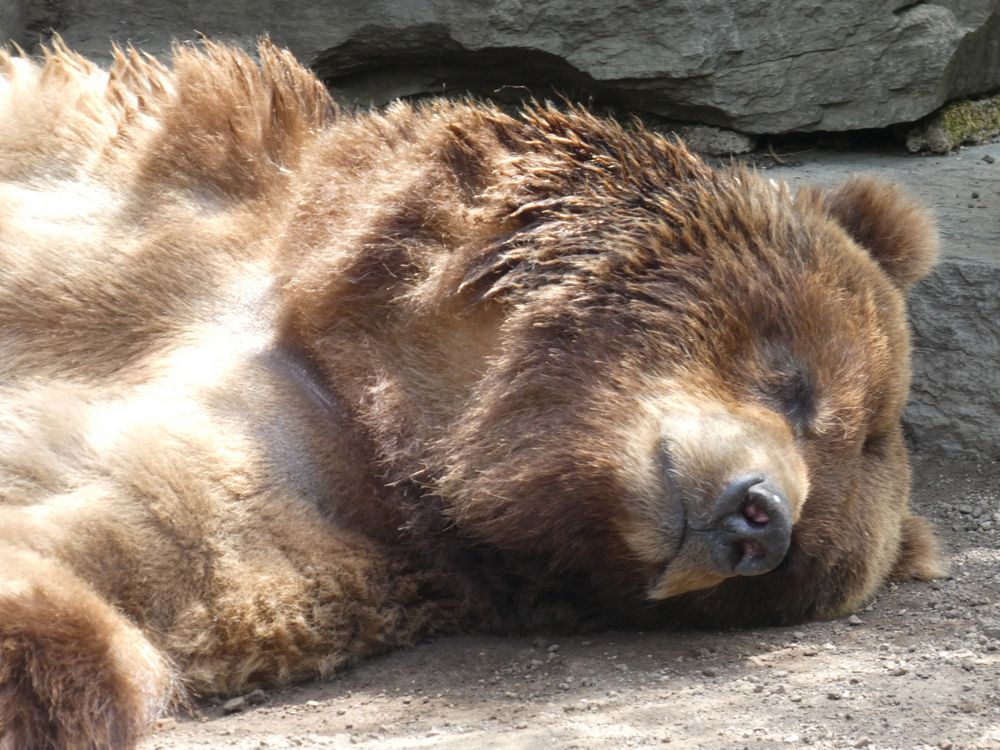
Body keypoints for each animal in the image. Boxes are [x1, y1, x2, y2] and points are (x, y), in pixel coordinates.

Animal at [0, 39, 940, 750]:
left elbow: (102, 576)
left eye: (804, 557)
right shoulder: (135, 196)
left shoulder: (292, 506)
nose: (762, 520)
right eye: (799, 385)